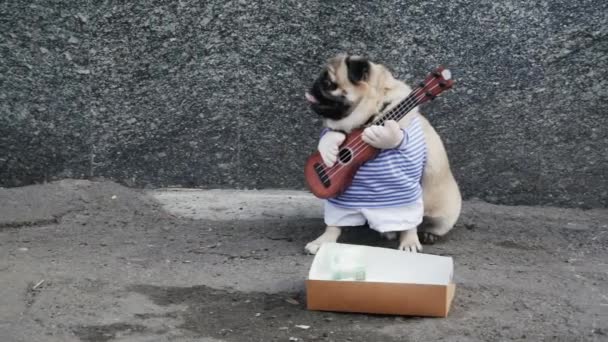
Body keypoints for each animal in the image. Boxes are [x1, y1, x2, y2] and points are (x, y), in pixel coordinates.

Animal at [304, 54, 460, 254]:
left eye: (329, 83)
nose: (314, 85)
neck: (371, 115)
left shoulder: (405, 181)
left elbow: (410, 220)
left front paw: (409, 241)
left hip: (444, 214)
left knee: (427, 223)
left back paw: (426, 234)